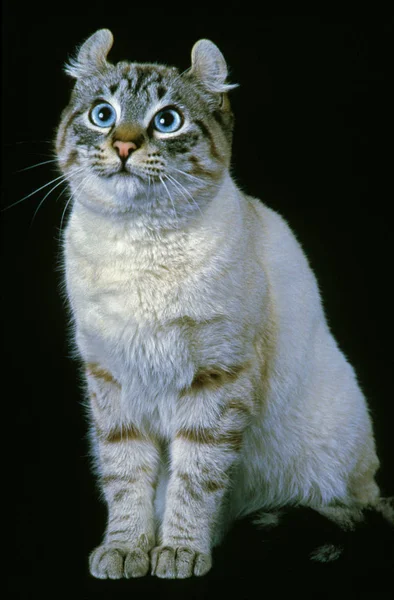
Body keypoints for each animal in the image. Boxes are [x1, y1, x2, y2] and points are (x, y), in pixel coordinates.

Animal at [55, 29, 390, 580]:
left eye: (166, 121)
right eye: (102, 114)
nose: (122, 145)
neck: (138, 247)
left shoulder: (215, 379)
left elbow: (195, 481)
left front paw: (179, 551)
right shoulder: (113, 382)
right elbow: (125, 479)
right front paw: (127, 549)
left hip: (332, 473)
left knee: (346, 509)